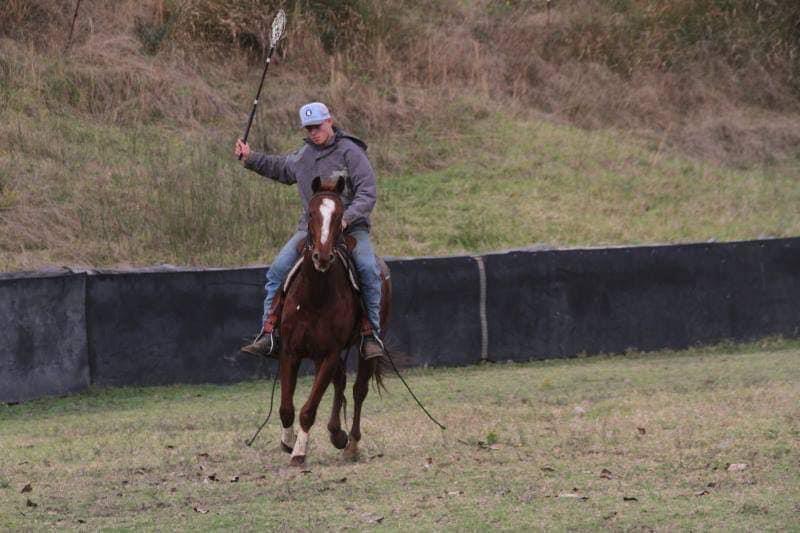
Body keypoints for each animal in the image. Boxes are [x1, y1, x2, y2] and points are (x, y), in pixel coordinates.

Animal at [276, 175, 391, 466]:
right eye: (311, 213)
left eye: (339, 215)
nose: (323, 256)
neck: (315, 296)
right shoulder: (291, 352)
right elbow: (286, 407)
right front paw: (288, 442)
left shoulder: (329, 353)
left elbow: (309, 409)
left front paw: (300, 452)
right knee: (339, 381)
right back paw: (336, 433)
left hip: (363, 350)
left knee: (359, 389)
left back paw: (351, 443)